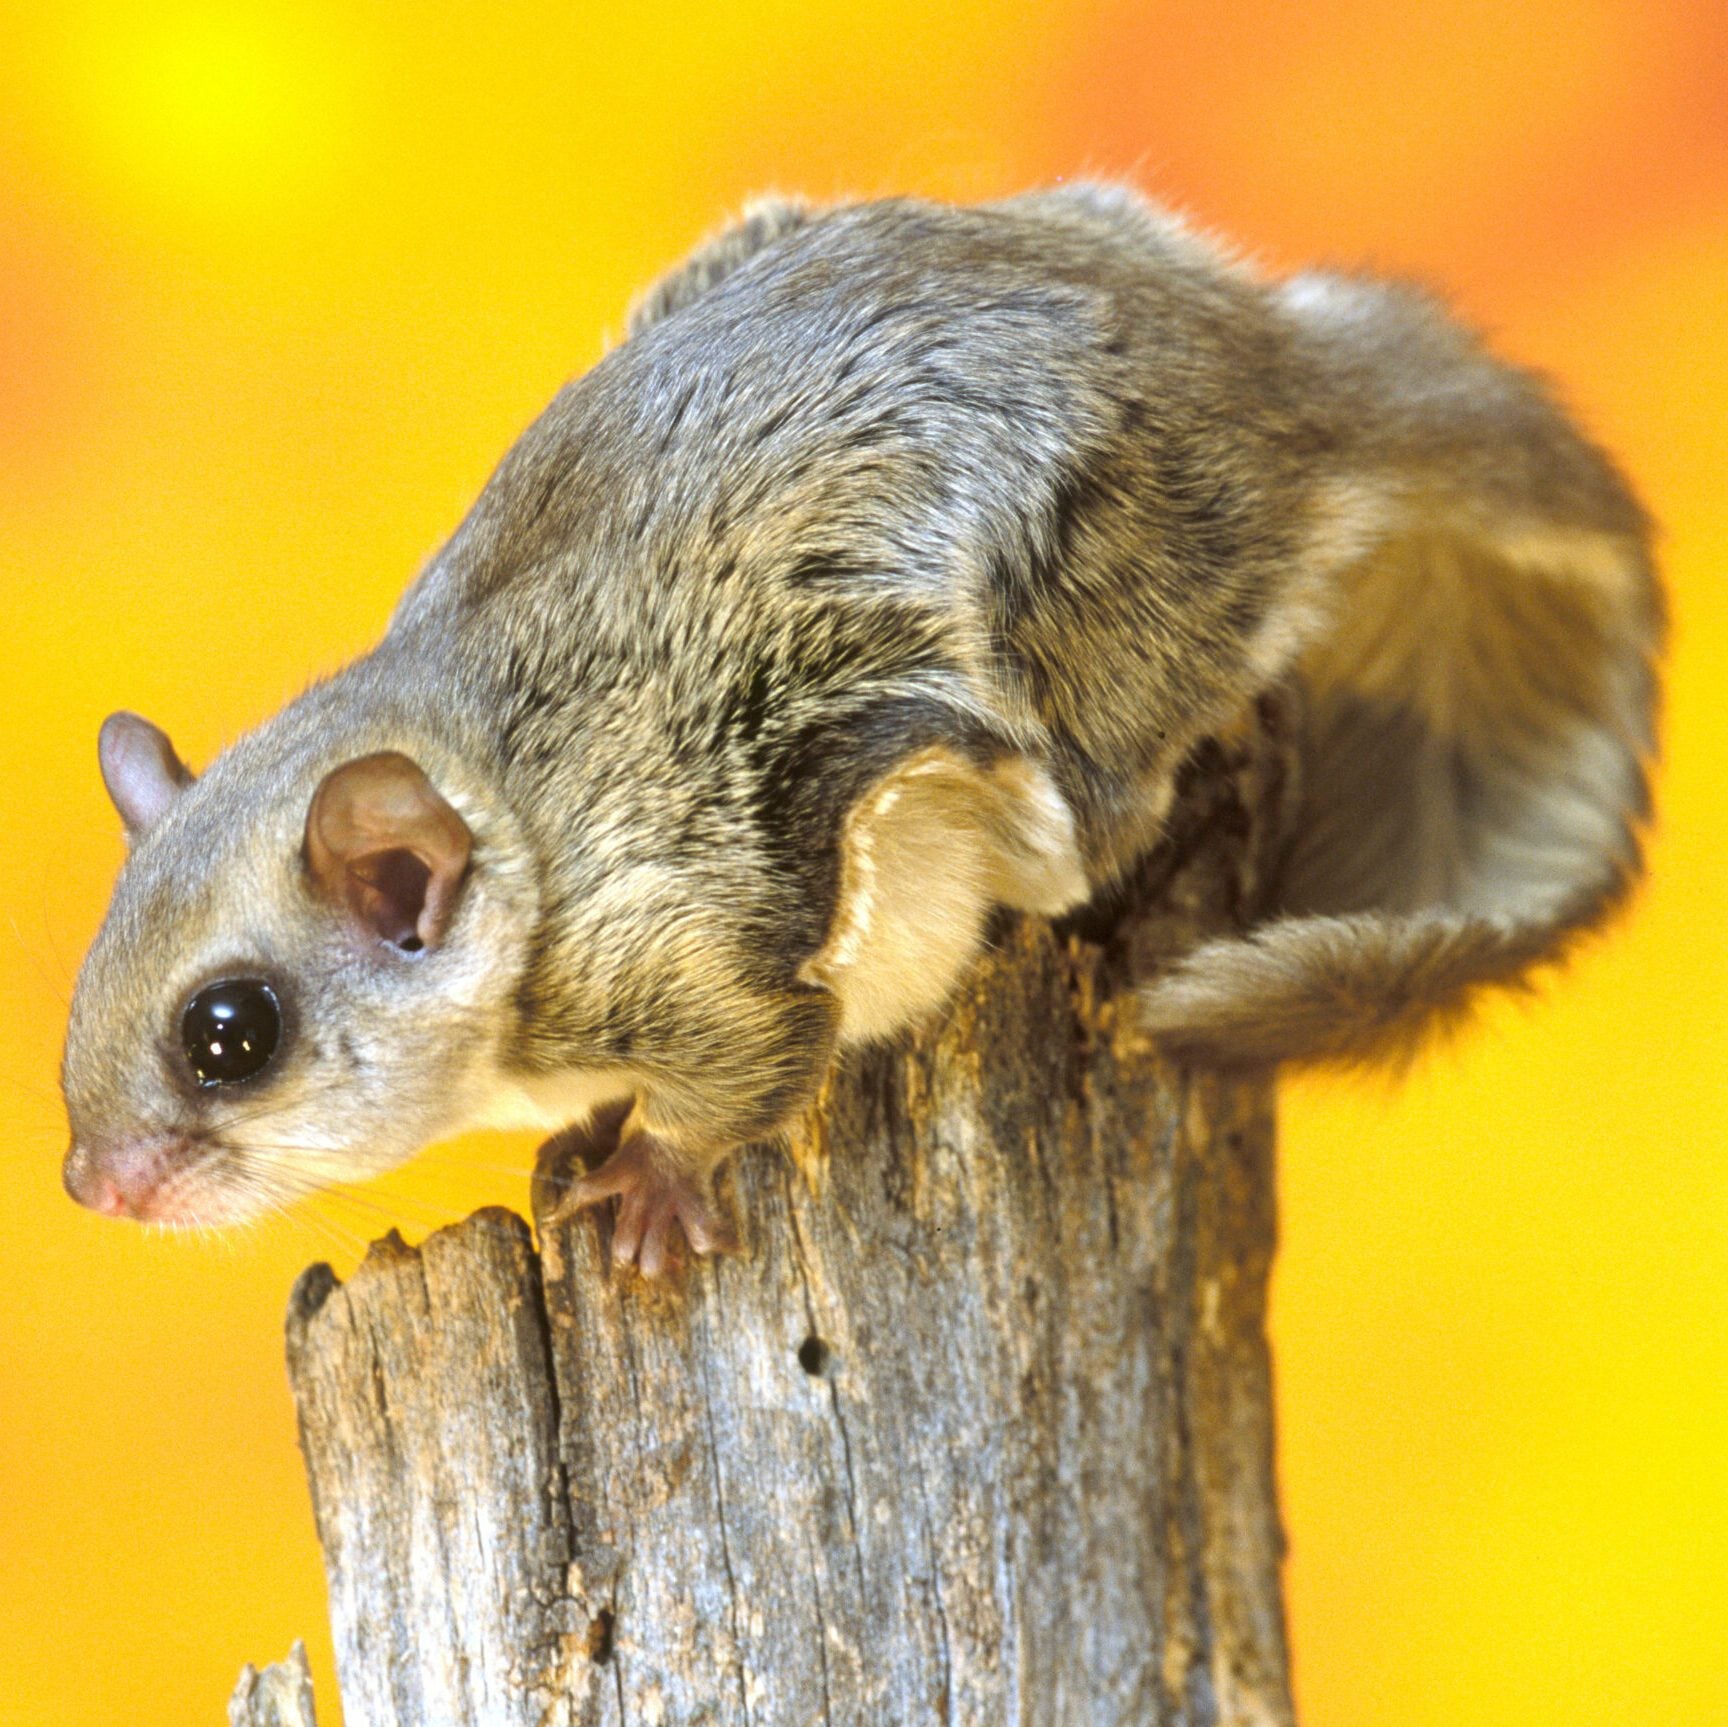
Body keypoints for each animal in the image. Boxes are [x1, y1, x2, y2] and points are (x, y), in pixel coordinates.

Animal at [59, 184, 1662, 1276]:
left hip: (1088, 629)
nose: (92, 1185)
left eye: (228, 1035)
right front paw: (585, 1140)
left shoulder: (686, 942)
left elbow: (759, 1060)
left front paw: (648, 1180)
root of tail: (1288, 383)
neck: (520, 817)